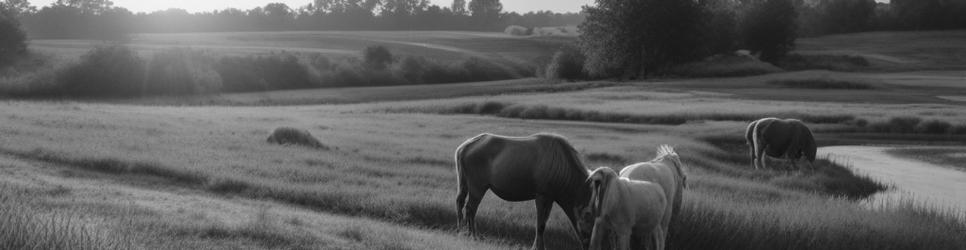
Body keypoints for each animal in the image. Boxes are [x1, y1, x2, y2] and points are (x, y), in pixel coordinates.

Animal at [458, 132, 592, 249]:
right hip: (477, 187)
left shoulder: (550, 199)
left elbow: (543, 223)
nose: (590, 244)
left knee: (460, 202)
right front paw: (537, 247)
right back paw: (473, 235)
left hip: (464, 183)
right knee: (470, 209)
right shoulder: (542, 196)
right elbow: (540, 225)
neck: (562, 167)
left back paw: (461, 230)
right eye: (590, 219)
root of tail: (466, 146)